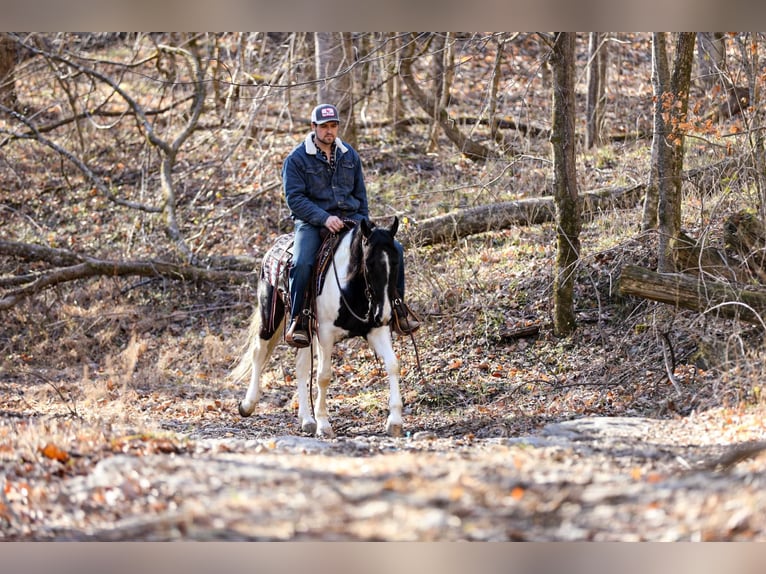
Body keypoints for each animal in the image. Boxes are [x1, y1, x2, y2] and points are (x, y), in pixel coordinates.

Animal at [231, 218, 404, 438]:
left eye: (396, 262)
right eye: (370, 264)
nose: (385, 314)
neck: (351, 288)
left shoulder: (376, 331)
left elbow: (393, 364)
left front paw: (395, 421)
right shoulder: (326, 334)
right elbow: (324, 376)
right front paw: (324, 424)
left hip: (304, 333)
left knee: (301, 367)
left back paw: (306, 419)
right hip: (269, 316)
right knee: (258, 354)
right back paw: (248, 405)